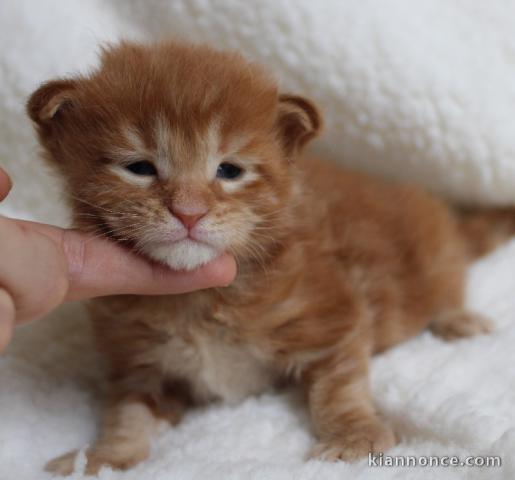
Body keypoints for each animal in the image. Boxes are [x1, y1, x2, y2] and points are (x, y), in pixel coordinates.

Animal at [29, 39, 512, 474]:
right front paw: (104, 456)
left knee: (448, 281)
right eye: (139, 168)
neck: (197, 299)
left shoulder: (332, 314)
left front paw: (352, 436)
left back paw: (457, 319)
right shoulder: (136, 360)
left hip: (432, 249)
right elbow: (127, 411)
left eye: (229, 170)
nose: (189, 211)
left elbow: (339, 383)